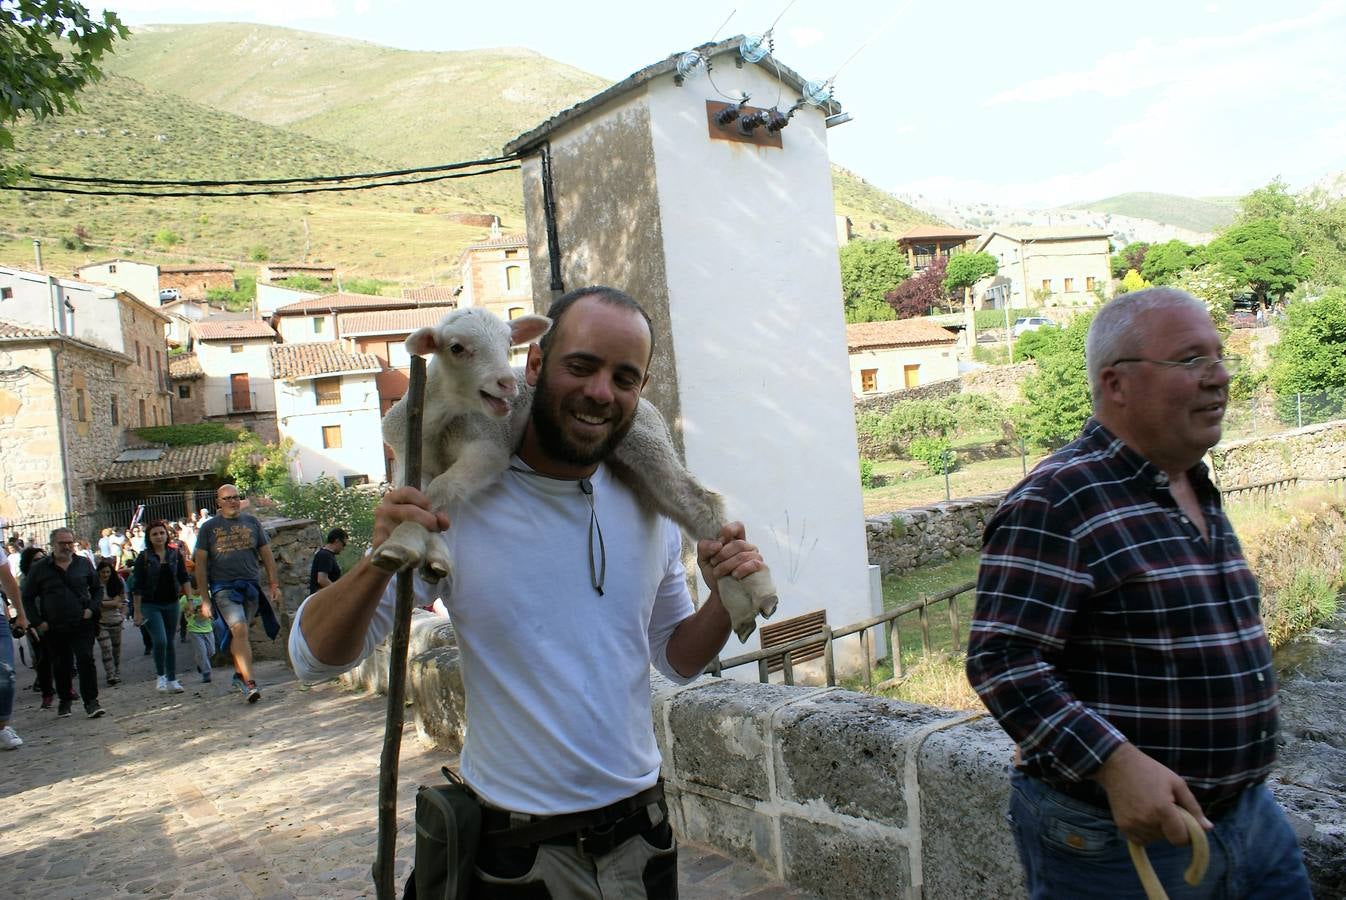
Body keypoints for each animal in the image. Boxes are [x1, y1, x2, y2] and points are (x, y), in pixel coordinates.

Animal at [376, 306, 780, 637]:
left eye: (509, 343)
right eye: (457, 348)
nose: (507, 383)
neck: (435, 425)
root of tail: (650, 406)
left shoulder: (488, 444)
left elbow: (440, 490)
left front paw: (400, 545)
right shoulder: (408, 457)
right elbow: (425, 499)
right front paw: (430, 555)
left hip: (644, 442)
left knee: (699, 501)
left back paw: (760, 592)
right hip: (637, 471)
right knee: (682, 510)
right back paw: (741, 609)